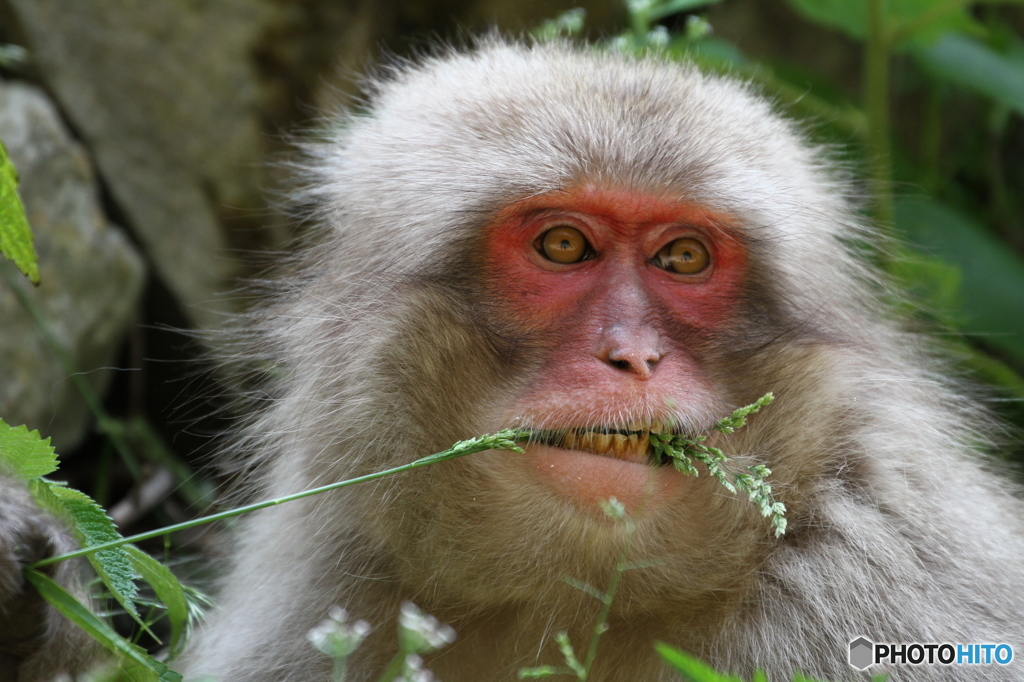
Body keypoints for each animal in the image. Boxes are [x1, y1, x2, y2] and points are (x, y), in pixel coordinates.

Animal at [2, 39, 1024, 679]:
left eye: (683, 259)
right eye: (563, 246)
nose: (633, 356)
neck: (568, 601)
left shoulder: (877, 588)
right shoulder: (332, 591)